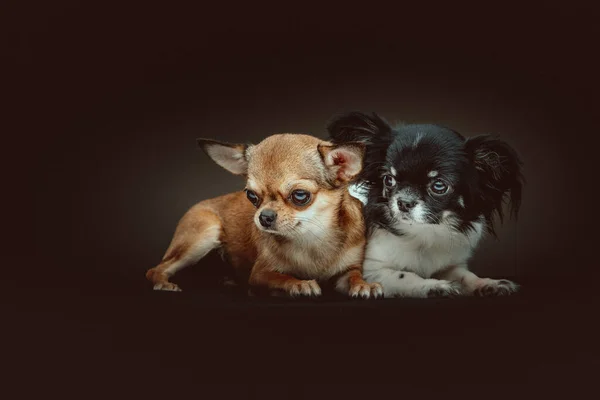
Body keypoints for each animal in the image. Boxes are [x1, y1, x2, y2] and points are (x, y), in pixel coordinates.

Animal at [144, 133, 384, 298]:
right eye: (251, 196)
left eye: (300, 195)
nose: (264, 217)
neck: (312, 237)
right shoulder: (260, 274)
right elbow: (281, 277)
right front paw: (300, 283)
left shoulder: (347, 270)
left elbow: (353, 276)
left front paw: (364, 285)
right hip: (205, 232)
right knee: (155, 269)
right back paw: (163, 283)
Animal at [328, 111, 524, 296]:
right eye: (389, 180)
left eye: (439, 185)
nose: (404, 202)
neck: (424, 231)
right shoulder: (371, 271)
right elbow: (405, 275)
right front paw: (435, 286)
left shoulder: (450, 266)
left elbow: (465, 276)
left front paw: (489, 284)